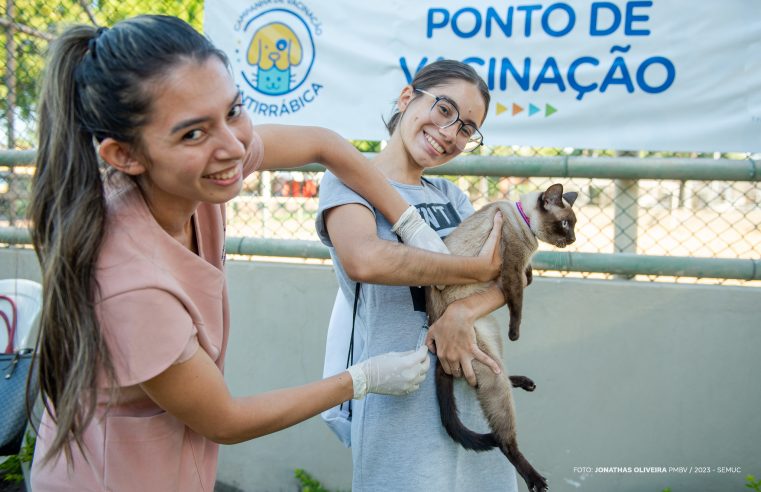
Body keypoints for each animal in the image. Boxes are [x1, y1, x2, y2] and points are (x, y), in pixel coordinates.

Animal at [424, 183, 580, 490]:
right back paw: (535, 479)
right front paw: (516, 334)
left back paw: (524, 382)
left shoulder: (519, 270)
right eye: (566, 224)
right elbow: (517, 304)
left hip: (491, 337)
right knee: (504, 438)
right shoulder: (511, 271)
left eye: (573, 225)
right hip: (483, 353)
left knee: (495, 372)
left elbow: (526, 281)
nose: (574, 238)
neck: (524, 222)